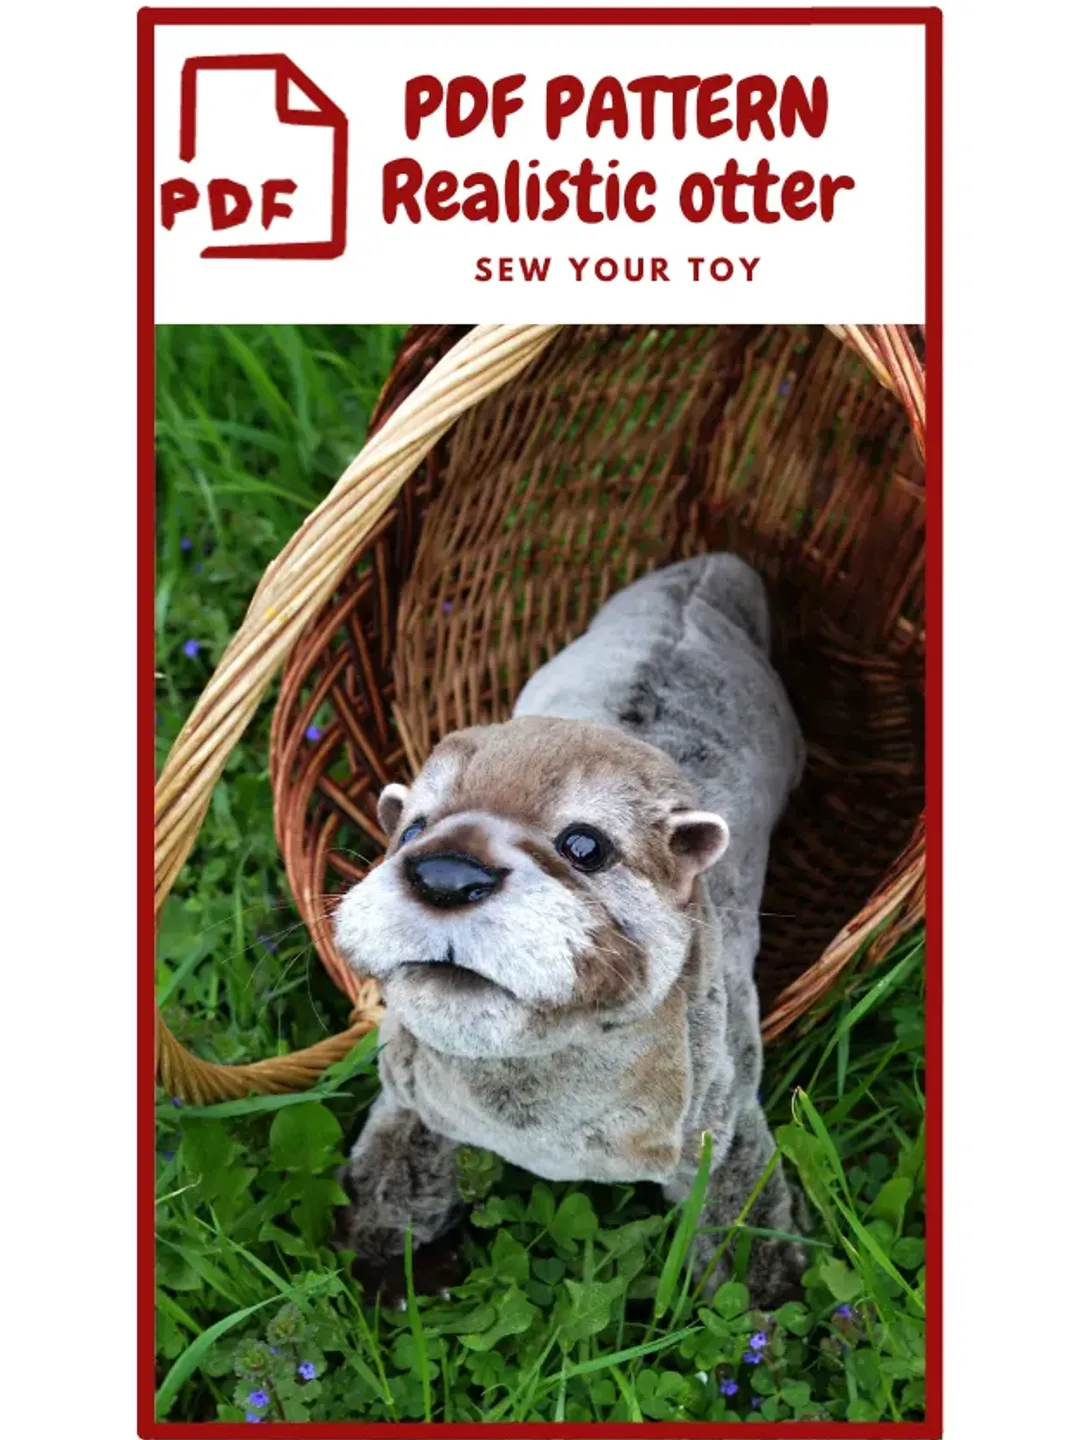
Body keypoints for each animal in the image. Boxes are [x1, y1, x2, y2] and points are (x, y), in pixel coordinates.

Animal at [333, 553, 806, 1305]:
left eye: (585, 845)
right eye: (411, 829)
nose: (445, 875)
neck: (540, 1126)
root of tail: (710, 571)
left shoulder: (726, 1122)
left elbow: (746, 1220)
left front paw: (776, 1309)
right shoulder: (410, 1094)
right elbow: (386, 1184)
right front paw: (376, 1268)